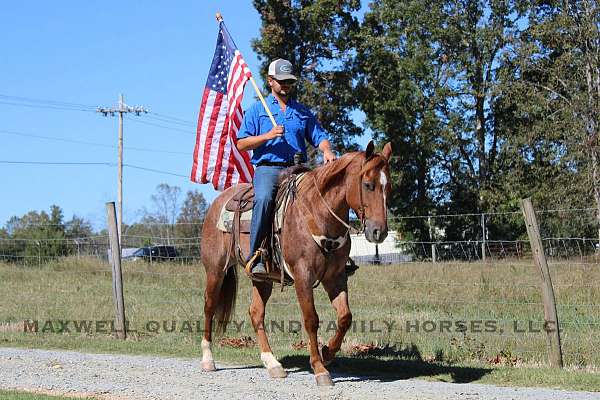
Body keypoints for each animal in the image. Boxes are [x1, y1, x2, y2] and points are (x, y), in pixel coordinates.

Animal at [199, 141, 392, 388]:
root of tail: (219, 201)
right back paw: (208, 359)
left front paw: (327, 352)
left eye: (389, 187)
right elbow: (311, 320)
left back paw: (273, 364)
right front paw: (319, 369)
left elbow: (345, 317)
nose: (379, 231)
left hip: (262, 279)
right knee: (209, 306)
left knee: (256, 313)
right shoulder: (303, 276)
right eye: (368, 185)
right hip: (215, 270)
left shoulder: (336, 277)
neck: (318, 213)